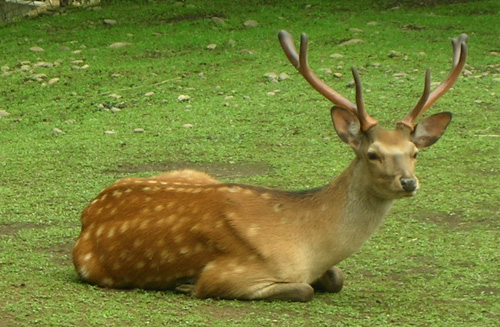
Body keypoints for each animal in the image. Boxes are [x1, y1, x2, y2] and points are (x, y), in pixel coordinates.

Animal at [72, 30, 466, 302]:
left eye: (414, 152)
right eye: (373, 154)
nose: (408, 182)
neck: (309, 244)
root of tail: (87, 214)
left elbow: (336, 279)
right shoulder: (228, 273)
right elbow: (303, 290)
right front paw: (185, 284)